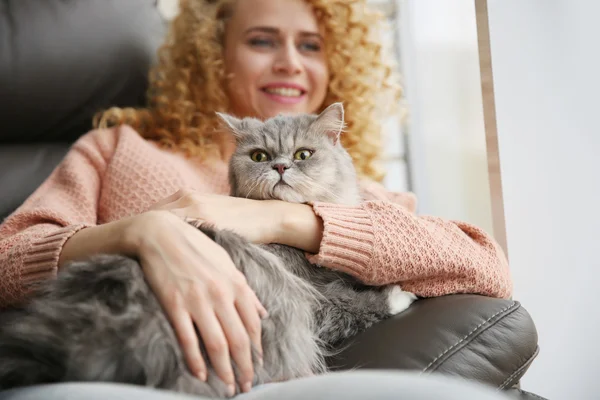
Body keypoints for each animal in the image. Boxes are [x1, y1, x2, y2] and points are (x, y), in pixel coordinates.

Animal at [0, 103, 418, 396]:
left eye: (303, 155)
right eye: (260, 157)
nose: (281, 167)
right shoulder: (309, 300)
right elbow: (357, 305)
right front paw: (399, 295)